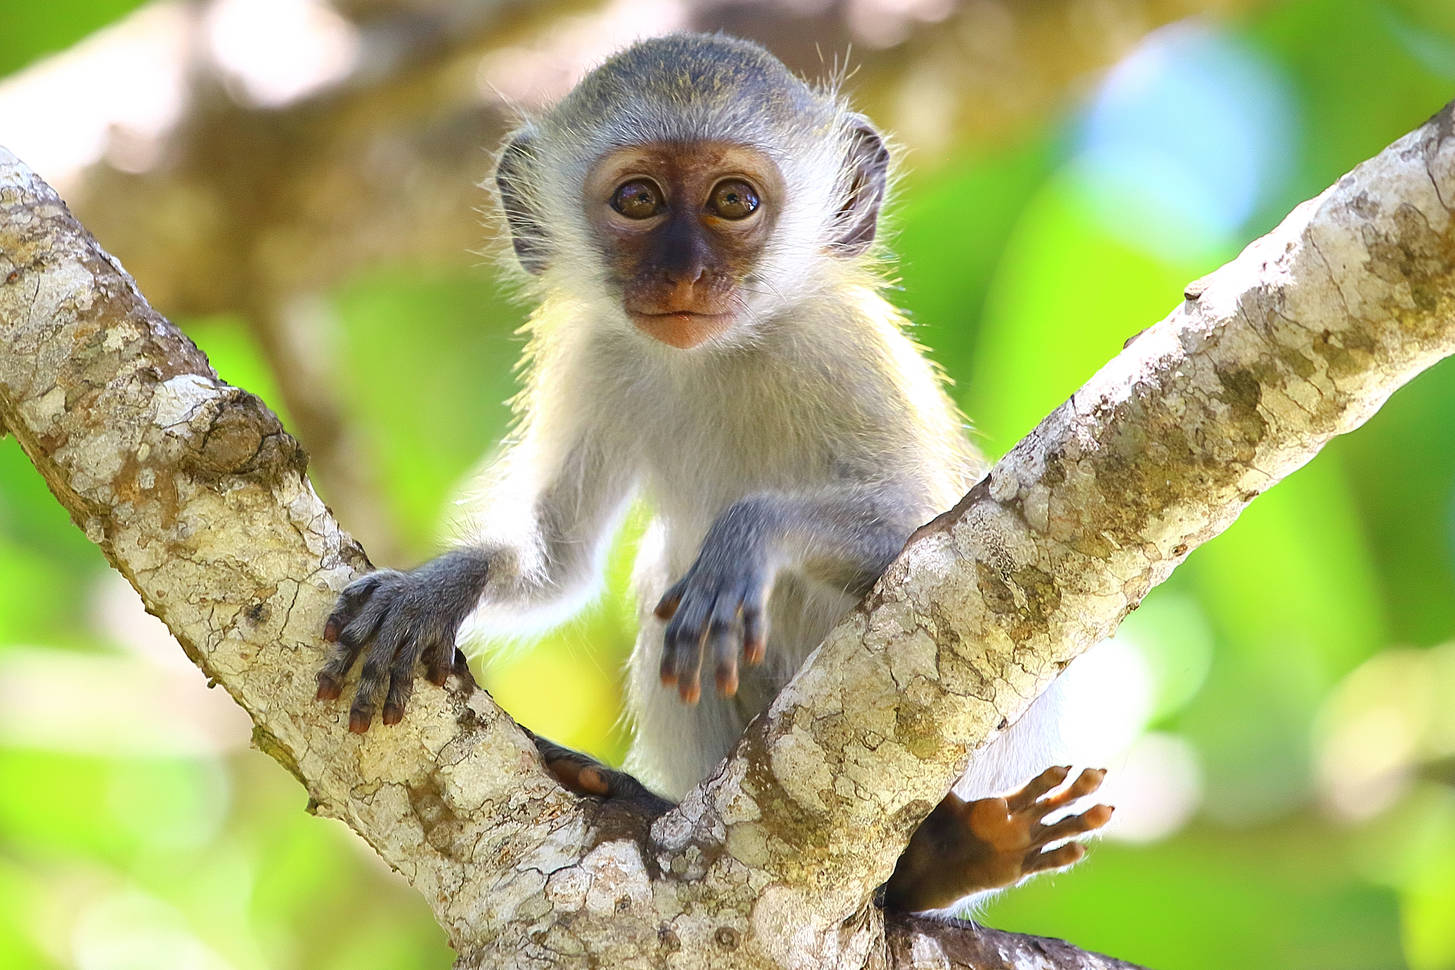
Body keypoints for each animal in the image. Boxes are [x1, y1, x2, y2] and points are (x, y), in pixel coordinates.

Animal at [318, 28, 1111, 913]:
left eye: (733, 202)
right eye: (638, 200)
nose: (683, 273)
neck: (722, 354)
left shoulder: (842, 351)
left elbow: (926, 538)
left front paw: (749, 537)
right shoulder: (599, 355)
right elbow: (556, 559)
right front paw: (435, 589)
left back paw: (946, 859)